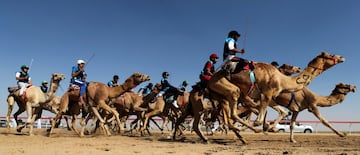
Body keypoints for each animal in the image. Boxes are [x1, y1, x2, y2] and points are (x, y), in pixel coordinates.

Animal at [207, 51, 344, 143]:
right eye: (331, 55)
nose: (342, 57)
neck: (282, 79)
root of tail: (212, 78)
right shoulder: (267, 93)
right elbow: (259, 120)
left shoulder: (270, 97)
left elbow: (282, 113)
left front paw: (272, 128)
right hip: (228, 87)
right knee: (232, 113)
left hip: (229, 95)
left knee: (229, 115)